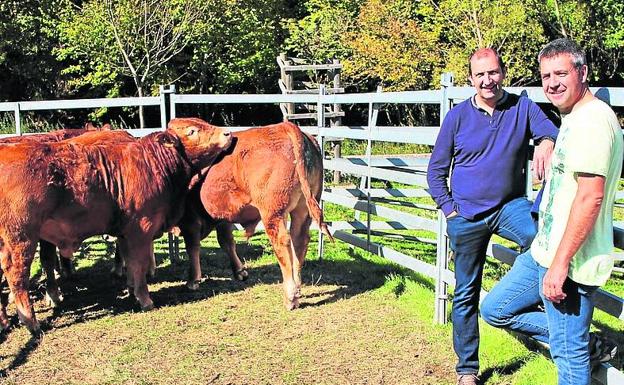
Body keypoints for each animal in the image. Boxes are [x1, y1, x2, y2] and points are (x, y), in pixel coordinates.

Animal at [0, 118, 232, 336]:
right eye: (192, 131)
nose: (228, 133)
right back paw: (31, 322)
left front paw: (131, 288)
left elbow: (129, 261)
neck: (153, 163)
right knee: (17, 273)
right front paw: (144, 298)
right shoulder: (141, 229)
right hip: (21, 238)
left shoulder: (125, 232)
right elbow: (138, 263)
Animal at [176, 121, 332, 310]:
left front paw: (193, 280)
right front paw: (240, 271)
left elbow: (193, 247)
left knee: (282, 242)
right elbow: (227, 242)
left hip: (273, 213)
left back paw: (290, 297)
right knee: (299, 241)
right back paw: (297, 290)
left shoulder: (189, 220)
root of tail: (284, 127)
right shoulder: (223, 217)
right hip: (302, 210)